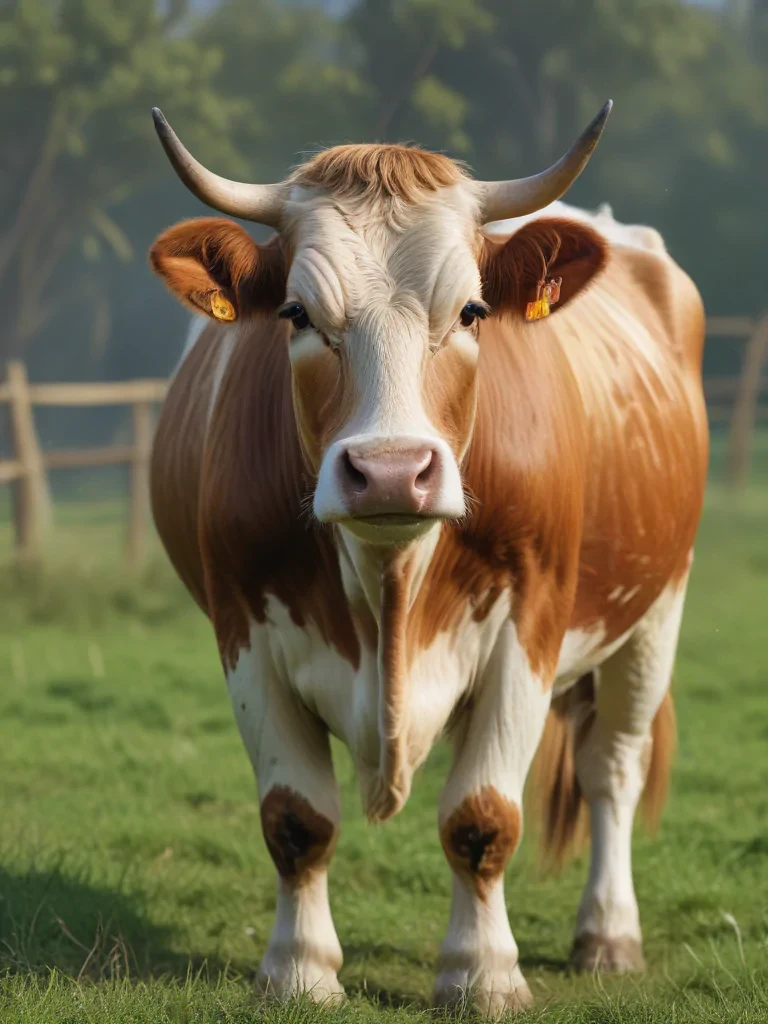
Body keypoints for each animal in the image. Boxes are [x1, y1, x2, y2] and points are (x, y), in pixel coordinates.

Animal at [147, 101, 708, 1015]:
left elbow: (482, 816)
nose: (389, 470)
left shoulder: (528, 626)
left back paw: (607, 933)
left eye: (473, 310)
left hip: (656, 609)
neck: (389, 578)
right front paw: (299, 969)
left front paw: (482, 973)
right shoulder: (243, 630)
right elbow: (296, 819)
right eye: (296, 314)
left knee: (612, 769)